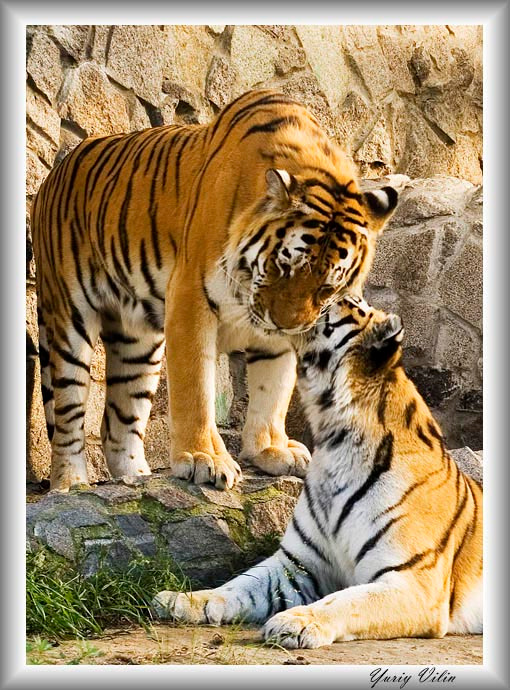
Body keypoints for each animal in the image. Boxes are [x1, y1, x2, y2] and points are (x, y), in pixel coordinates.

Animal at [31, 89, 399, 492]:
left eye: (328, 285)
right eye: (284, 266)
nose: (285, 325)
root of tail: (52, 177)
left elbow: (274, 389)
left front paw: (272, 450)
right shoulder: (190, 300)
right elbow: (196, 387)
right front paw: (202, 458)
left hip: (138, 341)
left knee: (118, 421)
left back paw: (136, 478)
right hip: (69, 319)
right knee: (67, 414)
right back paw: (71, 483)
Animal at [152, 294, 483, 648]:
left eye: (344, 301)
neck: (334, 438)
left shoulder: (414, 582)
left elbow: (346, 600)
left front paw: (295, 622)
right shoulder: (297, 565)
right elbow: (239, 584)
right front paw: (182, 600)